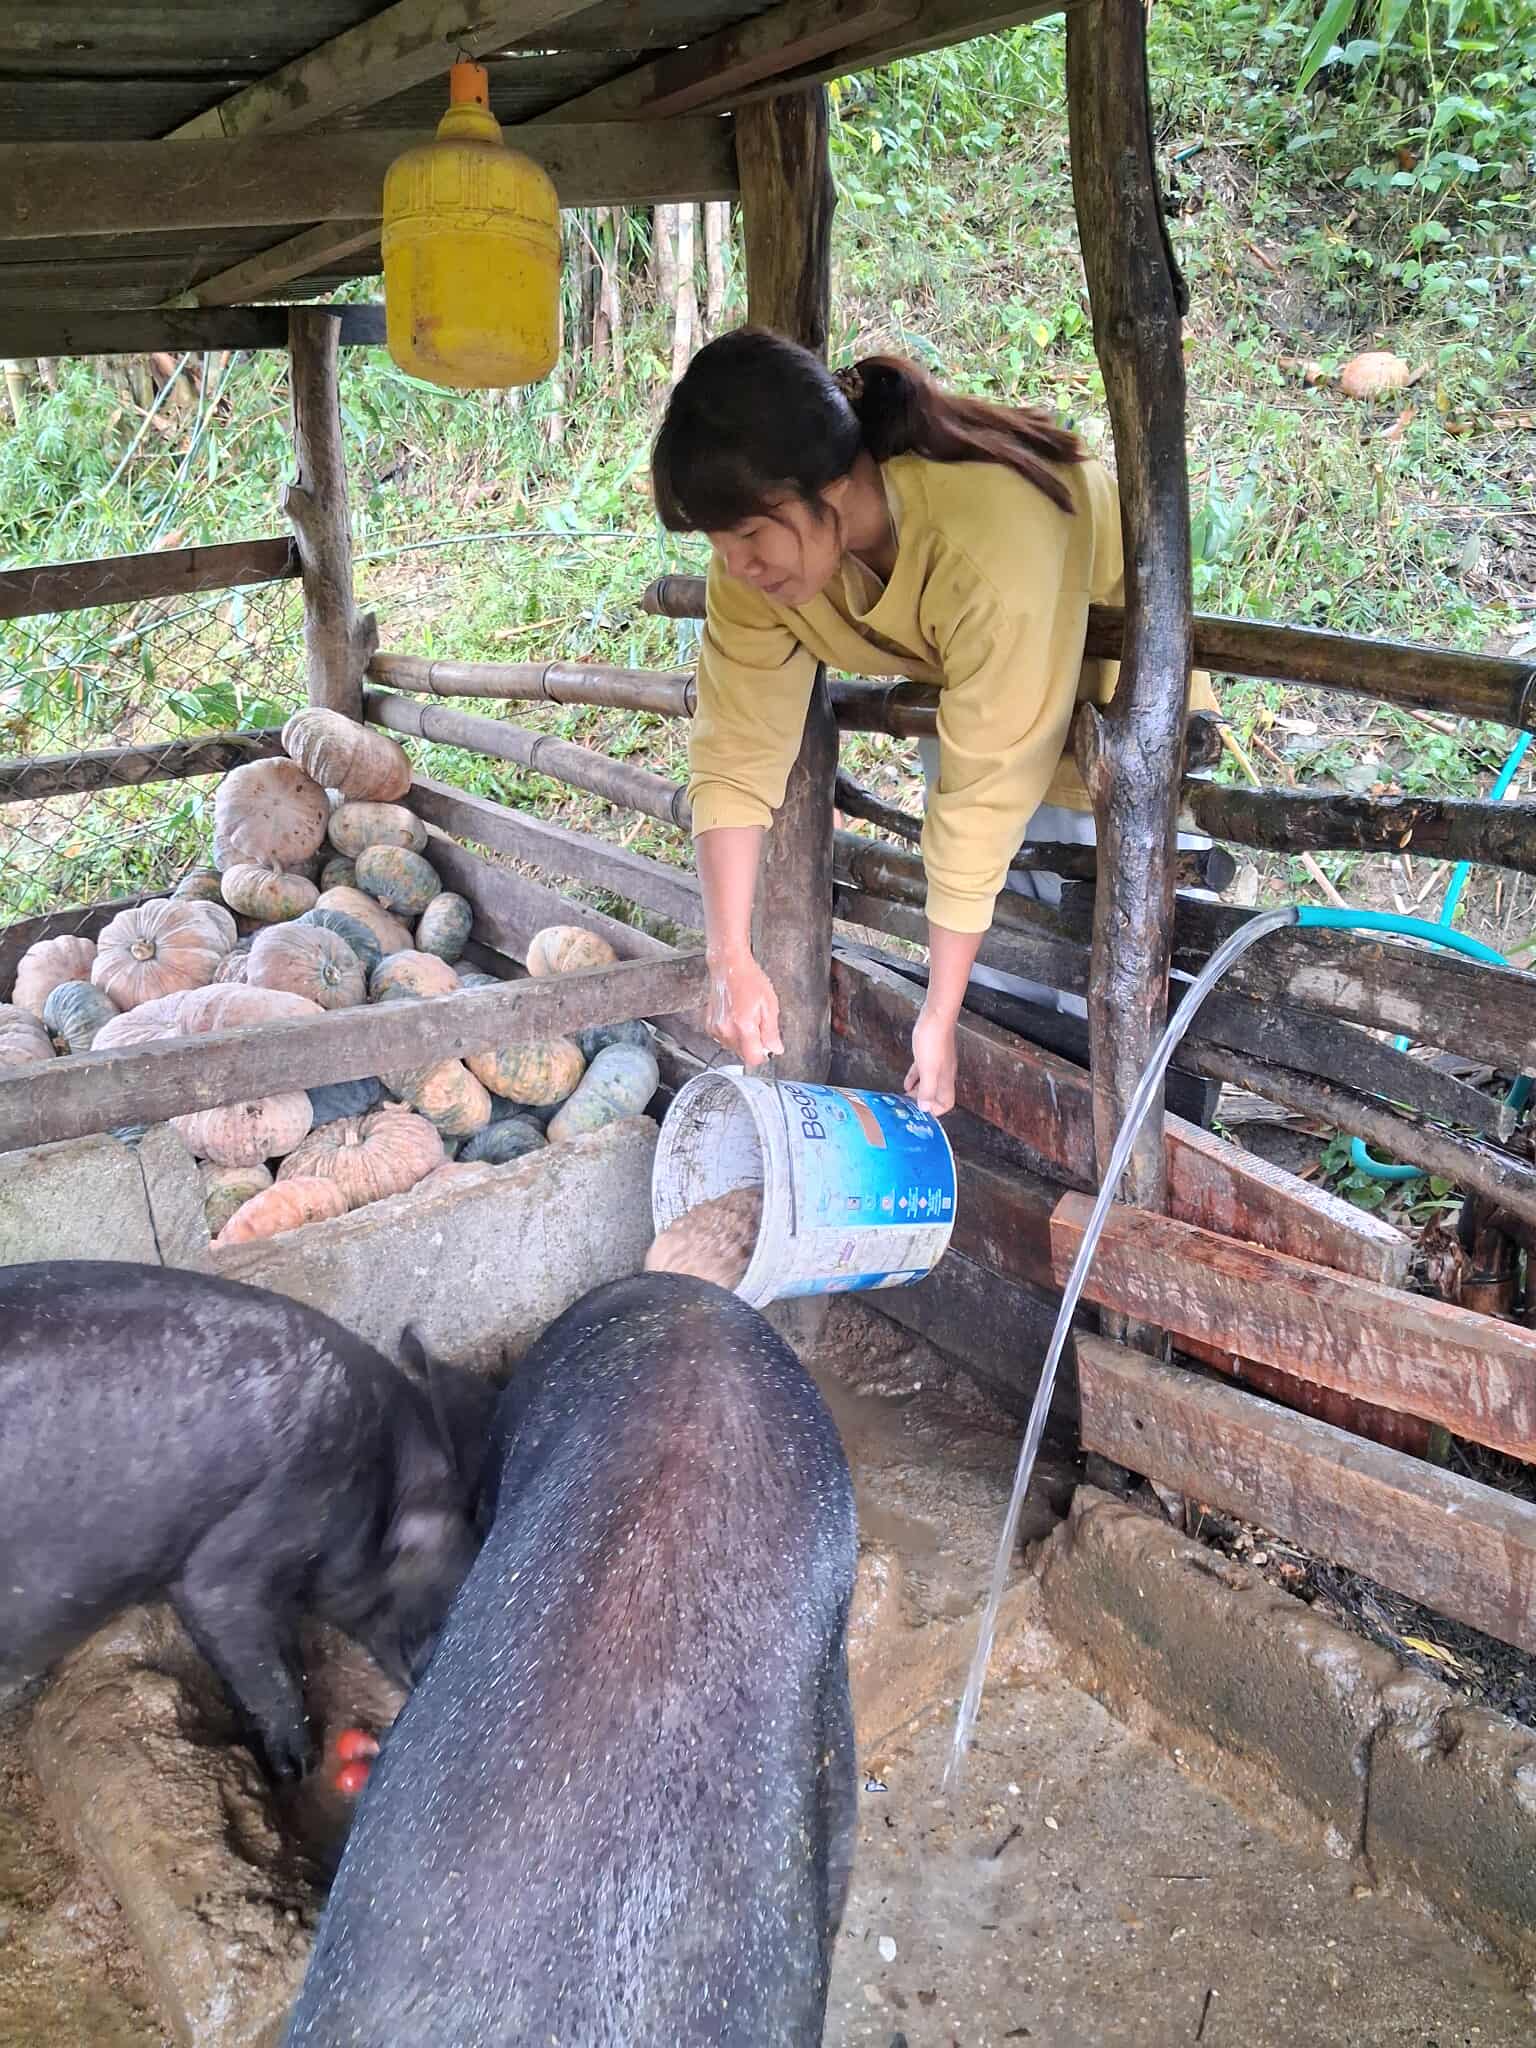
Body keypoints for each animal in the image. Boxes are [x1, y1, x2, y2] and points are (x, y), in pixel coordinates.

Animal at [0, 1260, 487, 1780]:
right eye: (441, 1568)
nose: (427, 1666)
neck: (376, 1483)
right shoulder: (252, 1537)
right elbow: (257, 1659)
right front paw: (295, 1767)